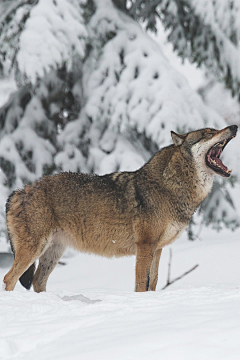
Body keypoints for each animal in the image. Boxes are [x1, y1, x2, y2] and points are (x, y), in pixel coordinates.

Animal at [2, 125, 237, 292]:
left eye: (214, 129)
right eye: (208, 133)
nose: (234, 126)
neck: (170, 186)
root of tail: (20, 191)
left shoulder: (158, 248)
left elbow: (153, 282)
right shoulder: (145, 246)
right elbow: (141, 284)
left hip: (53, 252)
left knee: (37, 282)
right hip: (34, 249)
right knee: (9, 278)